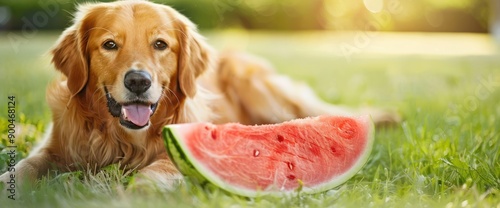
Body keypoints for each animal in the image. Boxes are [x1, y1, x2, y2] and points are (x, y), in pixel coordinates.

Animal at [0, 0, 398, 192]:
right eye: (109, 45)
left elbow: (154, 171)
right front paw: (8, 183)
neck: (120, 138)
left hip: (261, 90)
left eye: (160, 44)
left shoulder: (171, 153)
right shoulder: (55, 147)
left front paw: (137, 192)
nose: (139, 81)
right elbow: (26, 165)